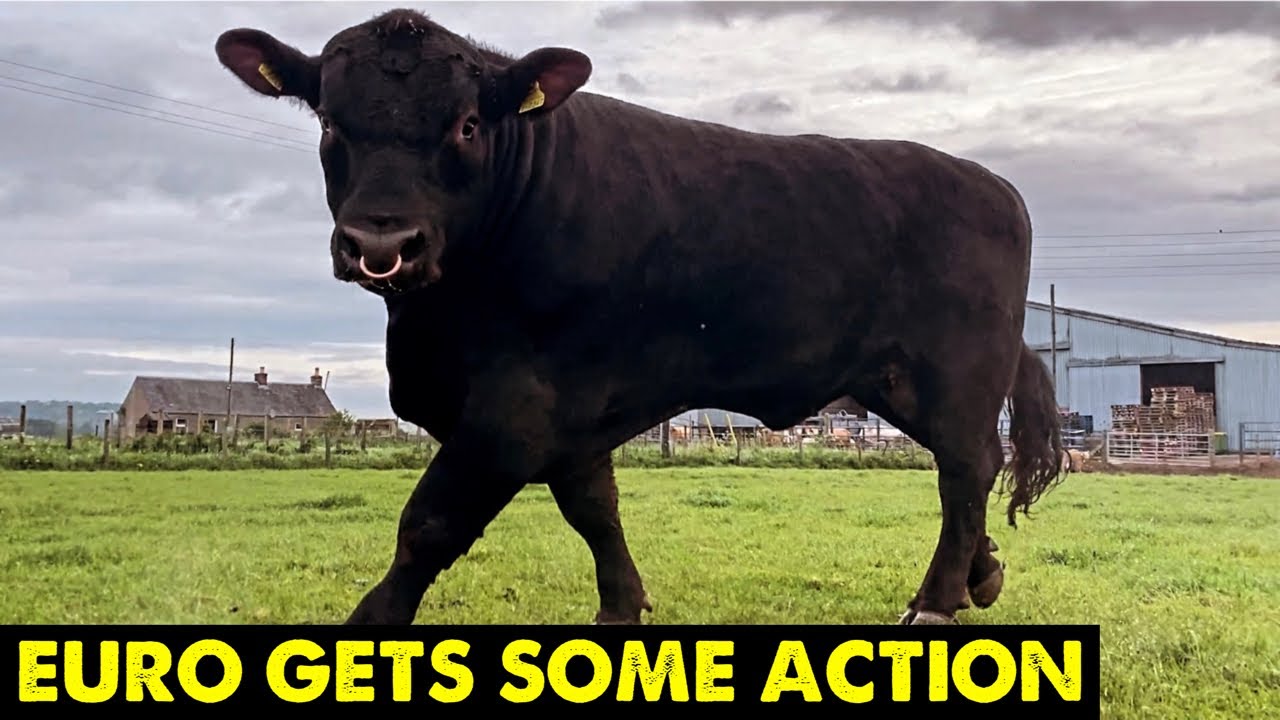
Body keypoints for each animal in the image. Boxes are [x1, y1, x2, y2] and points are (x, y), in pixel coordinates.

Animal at [213, 8, 1065, 626]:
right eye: (330, 123)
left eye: (466, 125)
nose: (381, 244)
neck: (434, 327)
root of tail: (992, 183)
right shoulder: (573, 413)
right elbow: (596, 508)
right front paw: (622, 607)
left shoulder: (519, 407)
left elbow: (429, 523)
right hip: (896, 379)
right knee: (967, 473)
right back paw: (981, 572)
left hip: (954, 372)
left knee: (967, 467)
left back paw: (936, 602)